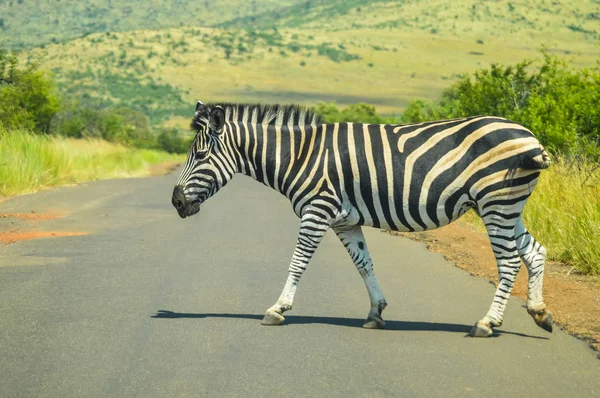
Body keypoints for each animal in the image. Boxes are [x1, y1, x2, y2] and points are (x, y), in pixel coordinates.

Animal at [170, 101, 552, 338]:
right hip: (507, 205)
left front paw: (278, 308)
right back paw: (539, 312)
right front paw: (376, 313)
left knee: (508, 262)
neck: (299, 155)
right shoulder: (345, 220)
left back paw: (487, 323)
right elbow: (364, 264)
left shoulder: (317, 210)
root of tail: (530, 137)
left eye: (200, 156)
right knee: (535, 251)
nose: (175, 201)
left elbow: (297, 262)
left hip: (495, 202)